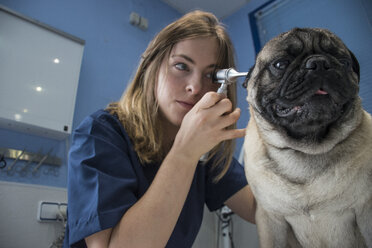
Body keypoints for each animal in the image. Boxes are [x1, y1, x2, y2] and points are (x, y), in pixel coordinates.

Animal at [243, 28, 370, 247]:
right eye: (280, 64)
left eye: (344, 62)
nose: (319, 64)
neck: (306, 149)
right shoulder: (270, 220)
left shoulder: (367, 209)